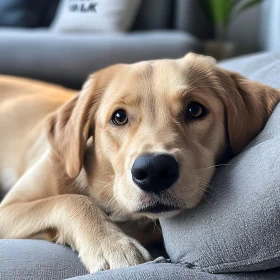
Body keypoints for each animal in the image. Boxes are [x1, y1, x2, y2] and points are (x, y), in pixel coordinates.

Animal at [0, 53, 278, 272]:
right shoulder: (7, 209)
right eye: (119, 117)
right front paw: (111, 245)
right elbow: (71, 200)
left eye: (195, 110)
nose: (154, 171)